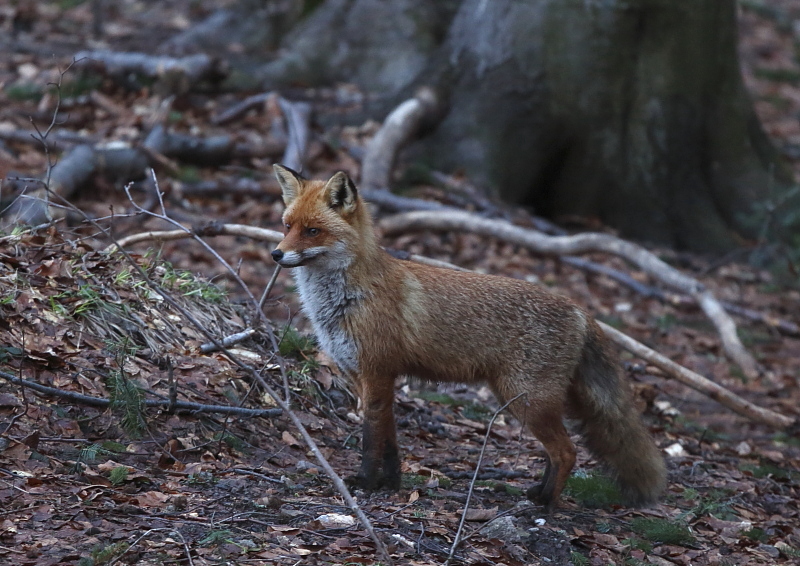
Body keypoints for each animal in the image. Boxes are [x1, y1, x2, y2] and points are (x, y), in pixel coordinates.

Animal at [272, 164, 664, 510]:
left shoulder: (376, 371)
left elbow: (371, 439)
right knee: (557, 454)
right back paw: (537, 493)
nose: (276, 253)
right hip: (523, 399)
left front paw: (366, 483)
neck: (346, 299)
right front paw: (392, 484)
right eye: (287, 226)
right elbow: (390, 439)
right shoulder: (363, 374)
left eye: (312, 231)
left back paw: (546, 507)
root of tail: (580, 310)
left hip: (527, 399)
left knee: (567, 452)